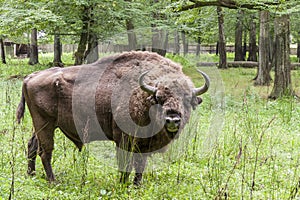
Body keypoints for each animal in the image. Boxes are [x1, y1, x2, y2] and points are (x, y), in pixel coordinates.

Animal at [16, 50, 209, 185]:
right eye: (159, 98)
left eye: (187, 99)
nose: (173, 120)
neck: (143, 95)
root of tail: (30, 77)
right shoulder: (123, 140)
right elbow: (126, 165)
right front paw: (122, 184)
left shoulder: (143, 145)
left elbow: (140, 166)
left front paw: (137, 186)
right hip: (45, 124)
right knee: (45, 152)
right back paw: (53, 180)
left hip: (41, 125)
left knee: (32, 145)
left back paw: (31, 174)